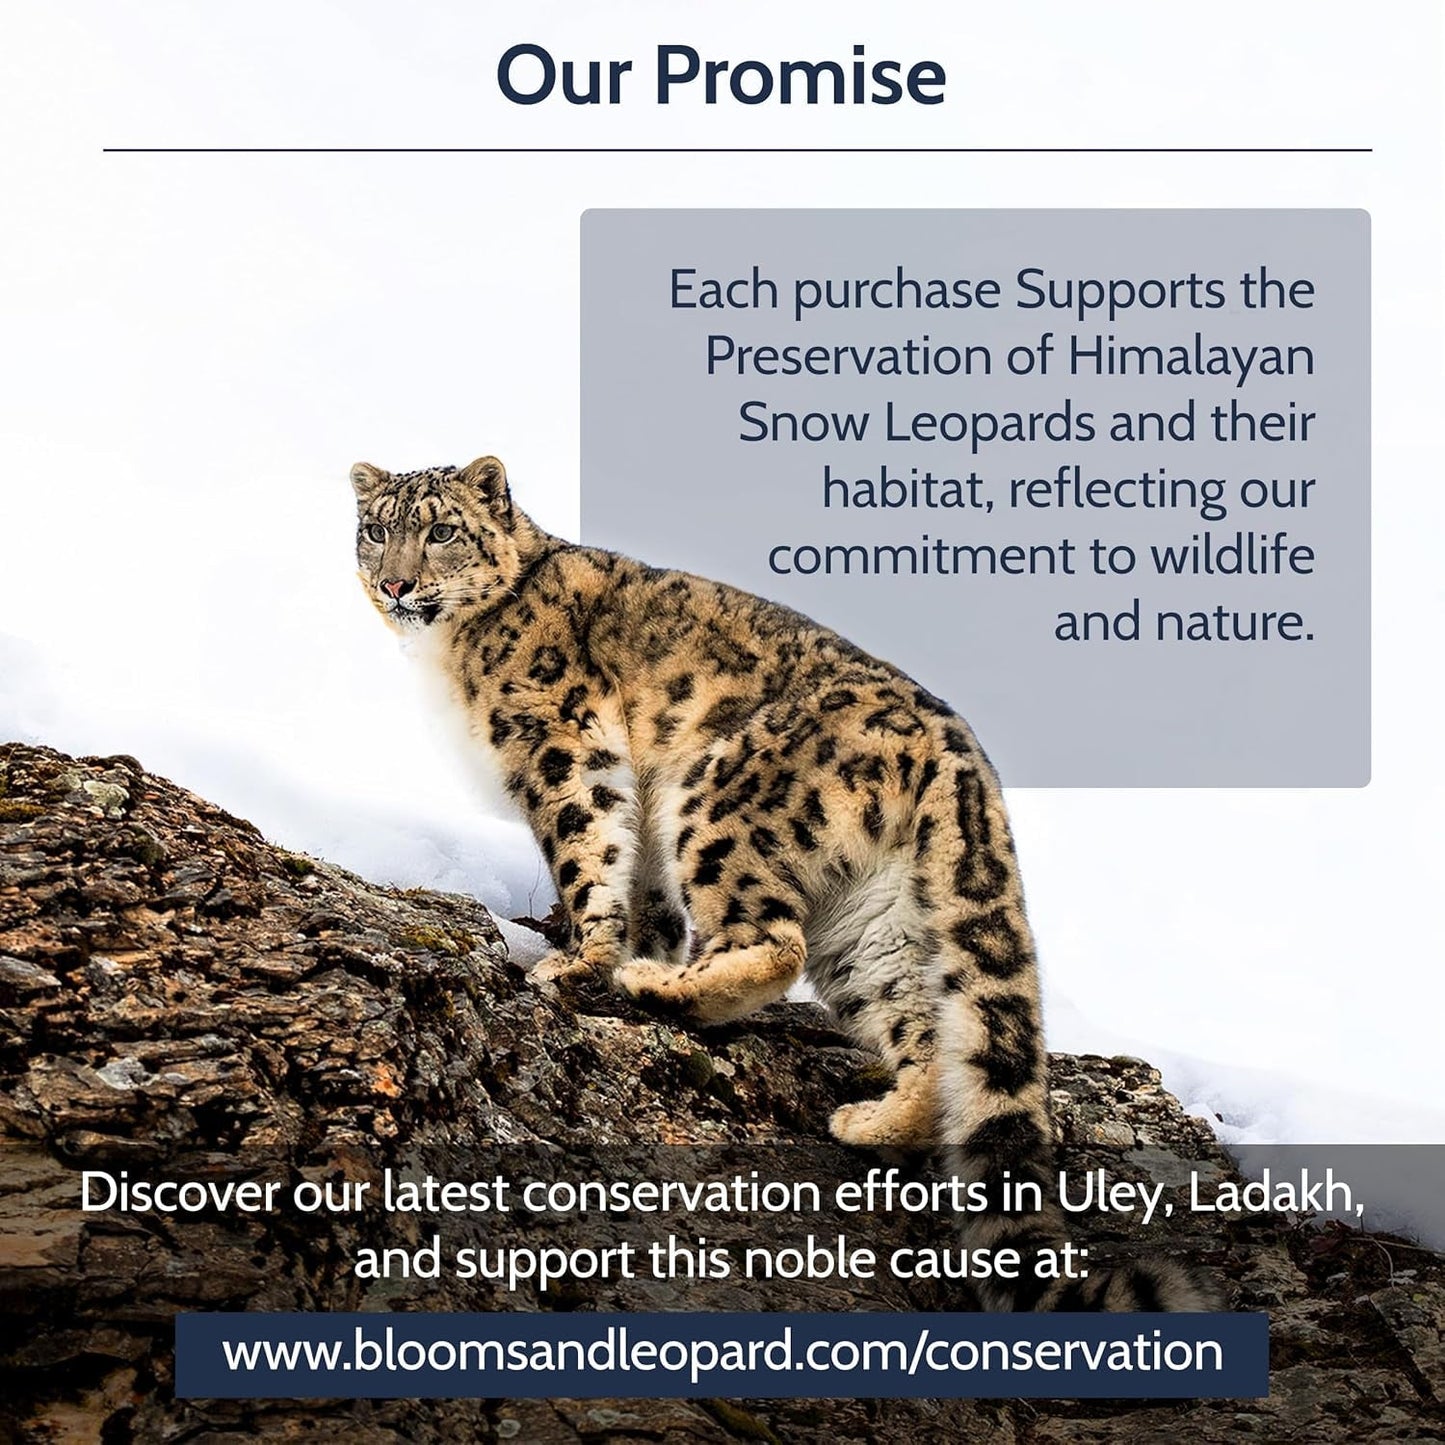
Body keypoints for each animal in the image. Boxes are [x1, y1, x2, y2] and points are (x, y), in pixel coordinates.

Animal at [351, 452, 1212, 1311]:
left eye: (441, 529)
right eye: (374, 529)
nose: (395, 584)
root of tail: (958, 750)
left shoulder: (560, 747)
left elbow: (588, 852)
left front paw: (581, 958)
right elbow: (644, 890)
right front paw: (637, 945)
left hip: (718, 801)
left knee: (773, 941)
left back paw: (659, 989)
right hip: (872, 917)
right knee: (920, 1028)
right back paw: (867, 1119)